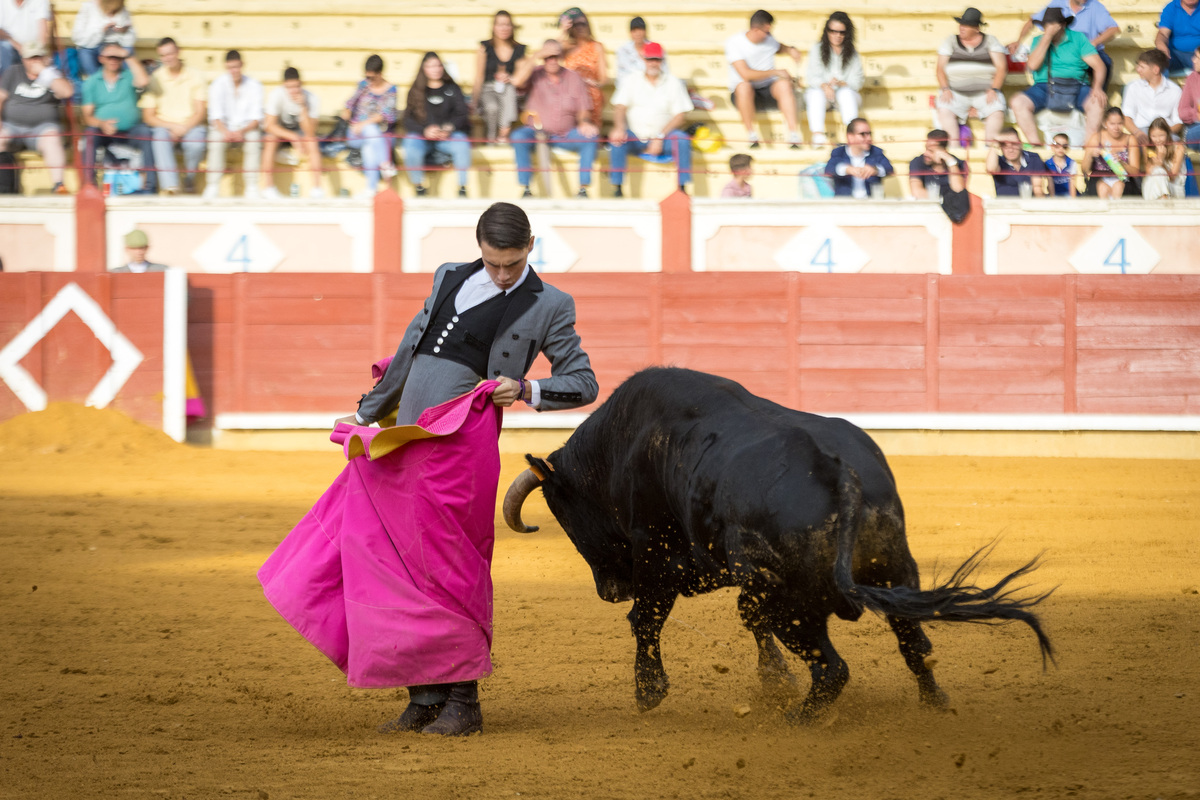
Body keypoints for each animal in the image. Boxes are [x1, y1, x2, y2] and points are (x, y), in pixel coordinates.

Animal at [501, 367, 1056, 724]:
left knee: (832, 669)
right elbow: (748, 616)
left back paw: (797, 719)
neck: (623, 444)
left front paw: (649, 692)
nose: (609, 590)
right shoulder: (741, 576)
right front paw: (774, 681)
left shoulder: (658, 557)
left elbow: (647, 619)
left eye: (565, 515)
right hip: (896, 570)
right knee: (914, 645)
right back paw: (935, 704)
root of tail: (839, 475)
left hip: (797, 604)